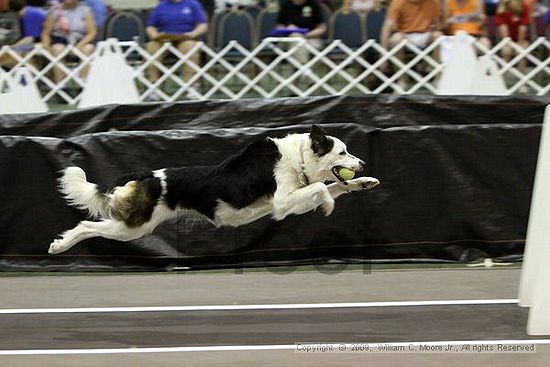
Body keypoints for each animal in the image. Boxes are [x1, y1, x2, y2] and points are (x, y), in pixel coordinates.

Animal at [48, 125, 380, 254]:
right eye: (343, 152)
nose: (363, 162)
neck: (297, 157)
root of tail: (146, 176)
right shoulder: (283, 203)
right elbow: (323, 189)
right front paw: (328, 206)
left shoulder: (294, 198)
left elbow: (337, 186)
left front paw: (365, 182)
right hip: (133, 227)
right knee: (87, 226)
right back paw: (59, 246)